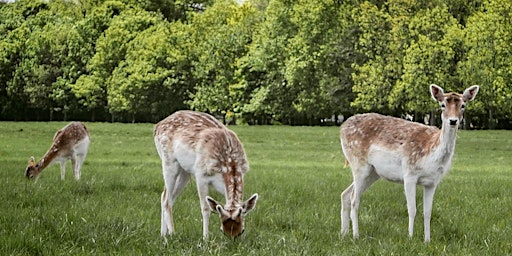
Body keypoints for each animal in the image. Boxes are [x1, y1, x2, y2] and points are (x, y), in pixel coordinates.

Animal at [151, 109, 256, 240]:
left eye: (242, 230)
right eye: (222, 230)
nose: (233, 242)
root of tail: (157, 126)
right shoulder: (201, 174)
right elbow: (206, 208)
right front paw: (205, 238)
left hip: (184, 171)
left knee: (165, 196)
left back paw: (163, 234)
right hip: (168, 161)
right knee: (166, 200)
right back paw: (172, 233)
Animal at [340, 84, 480, 242]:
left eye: (463, 105)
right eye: (442, 105)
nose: (453, 121)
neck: (431, 155)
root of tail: (342, 127)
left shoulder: (432, 182)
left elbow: (427, 212)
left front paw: (427, 240)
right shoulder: (409, 173)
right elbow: (412, 209)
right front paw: (410, 237)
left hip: (373, 172)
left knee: (345, 194)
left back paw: (343, 233)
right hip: (358, 163)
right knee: (354, 198)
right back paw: (356, 235)